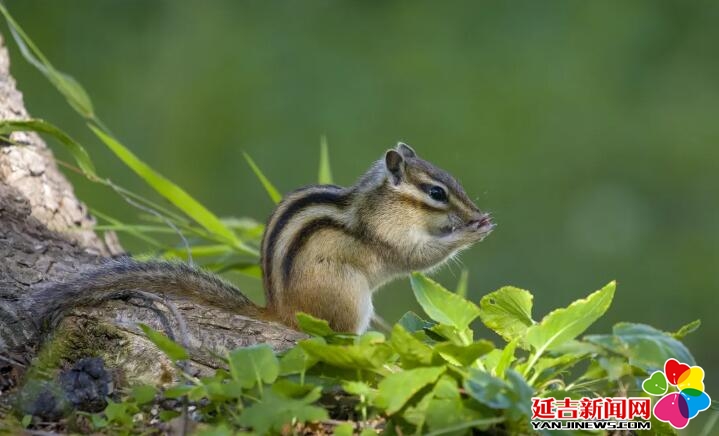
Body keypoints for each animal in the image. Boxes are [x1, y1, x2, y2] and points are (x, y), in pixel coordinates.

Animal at [28, 143, 493, 334]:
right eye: (437, 192)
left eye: (453, 181)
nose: (474, 213)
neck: (383, 201)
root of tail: (278, 312)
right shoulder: (388, 236)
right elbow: (417, 257)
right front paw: (471, 232)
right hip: (349, 297)